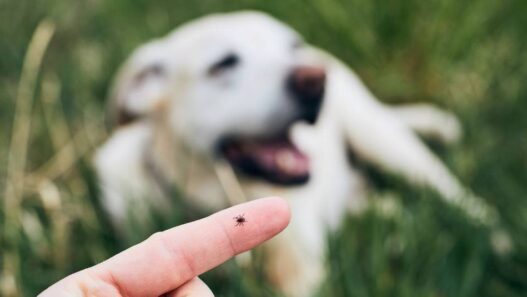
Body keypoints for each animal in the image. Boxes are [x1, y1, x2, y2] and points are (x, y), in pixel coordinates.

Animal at [96, 10, 500, 294]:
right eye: (223, 64)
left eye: (292, 46)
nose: (316, 79)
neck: (214, 195)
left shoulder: (303, 273)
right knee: (381, 202)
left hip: (384, 141)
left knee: (457, 196)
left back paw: (498, 239)